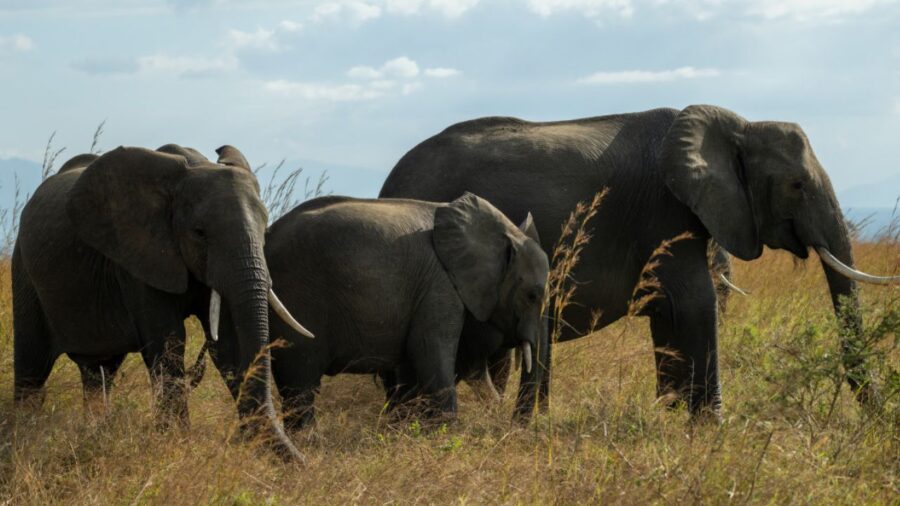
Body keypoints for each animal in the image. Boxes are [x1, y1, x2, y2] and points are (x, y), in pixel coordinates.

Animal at [8, 143, 312, 462]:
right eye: (199, 232)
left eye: (265, 231)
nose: (305, 462)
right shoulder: (138, 257)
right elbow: (168, 341)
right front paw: (178, 446)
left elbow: (228, 345)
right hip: (24, 272)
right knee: (31, 368)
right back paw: (23, 439)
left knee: (99, 373)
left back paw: (94, 434)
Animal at [208, 192, 552, 428]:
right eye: (533, 295)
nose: (513, 426)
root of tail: (266, 238)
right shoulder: (439, 287)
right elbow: (433, 353)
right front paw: (448, 433)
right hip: (299, 299)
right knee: (301, 382)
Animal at [380, 105, 900, 418]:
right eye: (796, 185)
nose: (877, 416)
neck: (739, 126)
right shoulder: (665, 211)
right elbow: (694, 304)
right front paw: (710, 426)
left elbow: (670, 313)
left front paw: (670, 412)